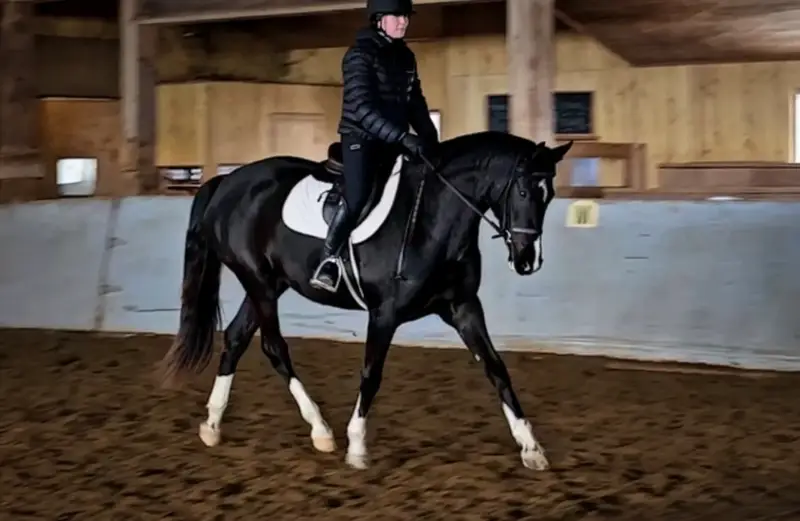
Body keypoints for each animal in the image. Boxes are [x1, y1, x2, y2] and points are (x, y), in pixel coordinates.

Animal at [158, 129, 573, 470]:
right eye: (523, 191)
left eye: (548, 195)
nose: (527, 260)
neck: (431, 217)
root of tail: (227, 181)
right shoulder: (384, 313)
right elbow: (371, 374)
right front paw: (356, 447)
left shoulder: (464, 307)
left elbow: (495, 367)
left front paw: (531, 448)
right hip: (258, 282)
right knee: (273, 347)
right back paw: (321, 431)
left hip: (269, 285)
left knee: (236, 337)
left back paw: (212, 424)